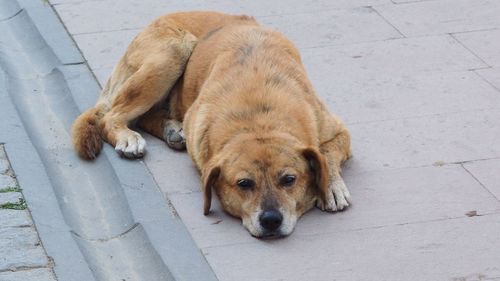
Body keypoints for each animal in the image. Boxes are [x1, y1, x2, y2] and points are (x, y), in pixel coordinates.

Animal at [71, 10, 352, 236]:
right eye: (244, 184)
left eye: (289, 180)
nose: (271, 220)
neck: (259, 116)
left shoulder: (339, 132)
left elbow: (327, 154)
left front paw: (331, 186)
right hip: (173, 51)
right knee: (111, 117)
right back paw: (128, 136)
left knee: (143, 116)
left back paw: (172, 130)